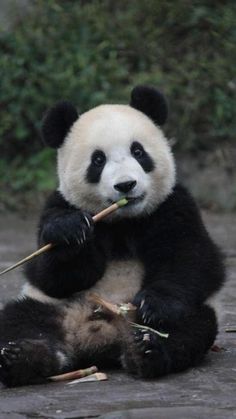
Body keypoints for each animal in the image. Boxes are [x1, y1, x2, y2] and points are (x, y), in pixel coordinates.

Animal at [0, 85, 225, 388]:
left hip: (179, 315)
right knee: (18, 320)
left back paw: (147, 350)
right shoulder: (56, 206)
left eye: (138, 151)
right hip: (48, 307)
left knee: (192, 326)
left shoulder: (173, 205)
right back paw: (22, 358)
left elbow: (193, 258)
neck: (121, 221)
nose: (126, 185)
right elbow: (50, 276)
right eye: (98, 160)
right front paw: (70, 232)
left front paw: (155, 305)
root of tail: (100, 337)